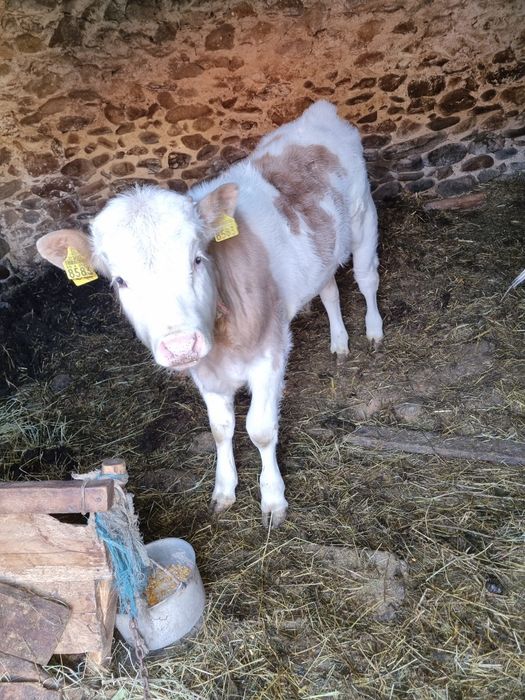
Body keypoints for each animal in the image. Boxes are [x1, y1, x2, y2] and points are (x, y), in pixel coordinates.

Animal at [37, 101, 383, 528]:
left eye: (198, 258)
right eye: (120, 280)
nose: (181, 344)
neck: (223, 343)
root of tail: (319, 113)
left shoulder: (270, 352)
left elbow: (260, 429)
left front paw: (273, 500)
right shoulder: (204, 370)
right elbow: (221, 429)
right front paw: (224, 490)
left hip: (364, 220)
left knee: (366, 278)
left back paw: (373, 330)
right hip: (321, 252)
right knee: (330, 290)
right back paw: (339, 342)